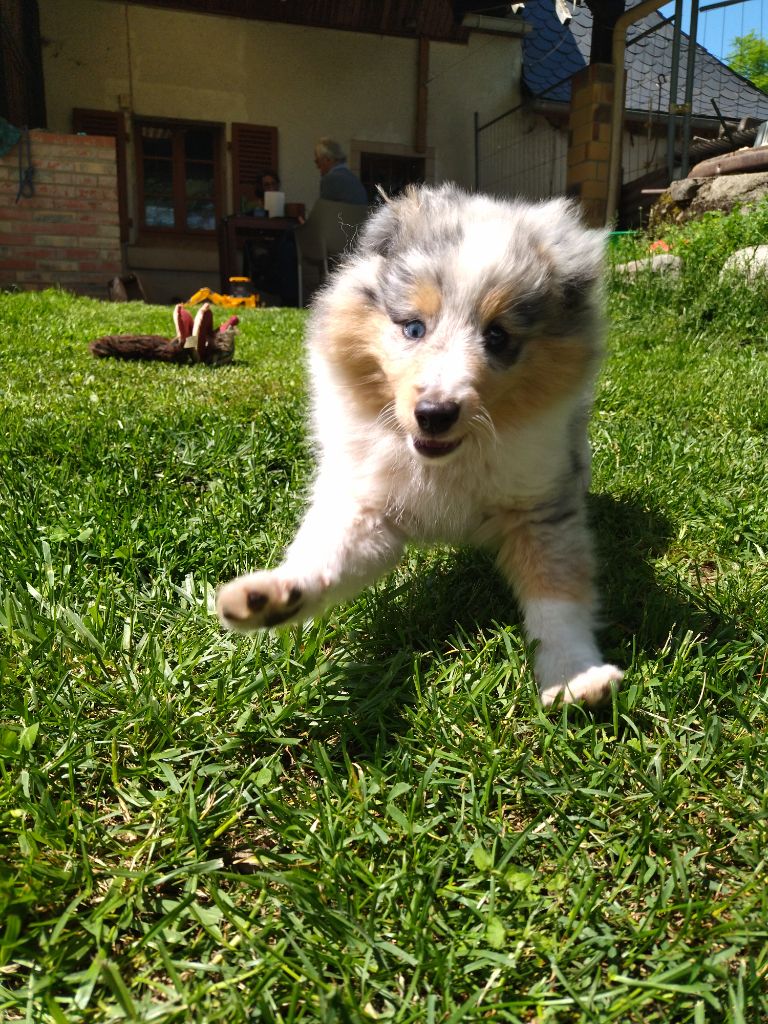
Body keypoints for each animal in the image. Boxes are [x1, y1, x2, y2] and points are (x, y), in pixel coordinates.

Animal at [214, 186, 622, 704]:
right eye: (413, 328)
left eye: (498, 336)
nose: (434, 414)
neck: (445, 462)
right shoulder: (367, 505)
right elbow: (327, 553)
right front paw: (272, 596)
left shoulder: (539, 507)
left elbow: (558, 595)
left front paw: (574, 678)